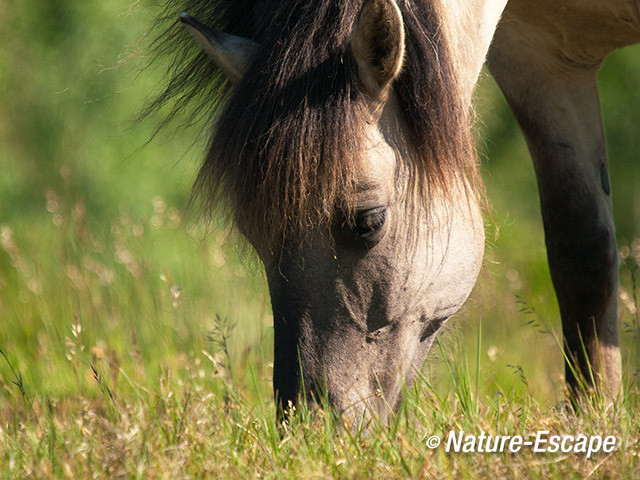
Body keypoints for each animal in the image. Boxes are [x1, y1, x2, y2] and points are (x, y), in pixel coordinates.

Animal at [148, 0, 636, 418]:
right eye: (252, 232)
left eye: (368, 221)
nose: (310, 424)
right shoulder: (541, 58)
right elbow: (582, 260)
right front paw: (593, 415)